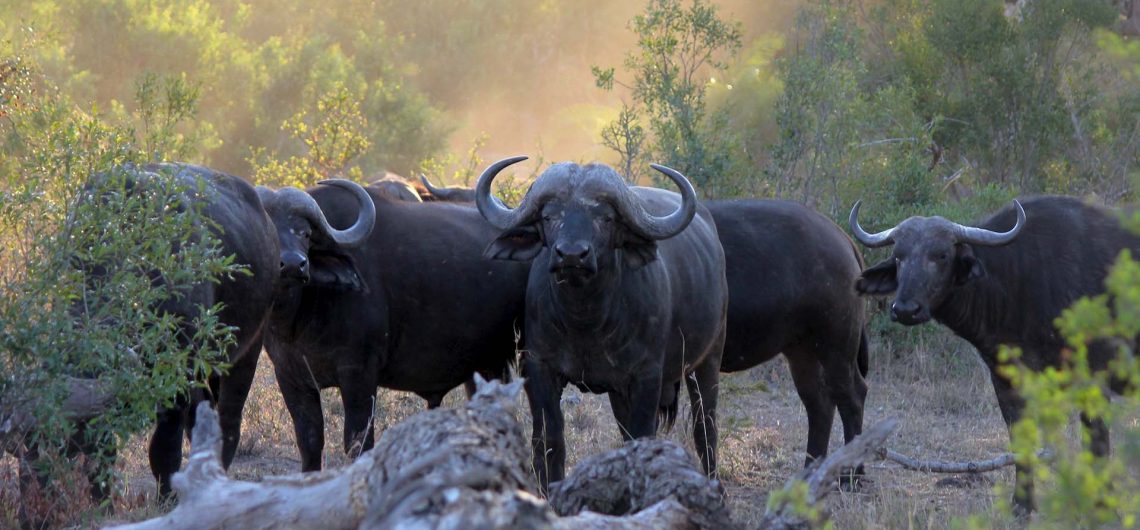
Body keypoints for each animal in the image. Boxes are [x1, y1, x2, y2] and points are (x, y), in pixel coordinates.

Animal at [474, 156, 725, 487]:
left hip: (708, 359)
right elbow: (549, 439)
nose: (571, 255)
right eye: (549, 216)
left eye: (605, 218)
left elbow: (642, 435)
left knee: (705, 429)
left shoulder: (647, 376)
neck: (586, 321)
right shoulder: (540, 367)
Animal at [706, 198, 866, 478]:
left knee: (852, 398)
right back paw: (810, 470)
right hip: (803, 351)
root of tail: (842, 237)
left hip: (837, 347)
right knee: (820, 404)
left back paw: (851, 475)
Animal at [852, 194, 1135, 512]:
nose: (905, 309)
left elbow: (1097, 441)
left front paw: (1101, 503)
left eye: (941, 255)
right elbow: (1020, 439)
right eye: (899, 256)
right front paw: (1022, 504)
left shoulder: (1094, 377)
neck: (1016, 280)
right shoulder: (1005, 379)